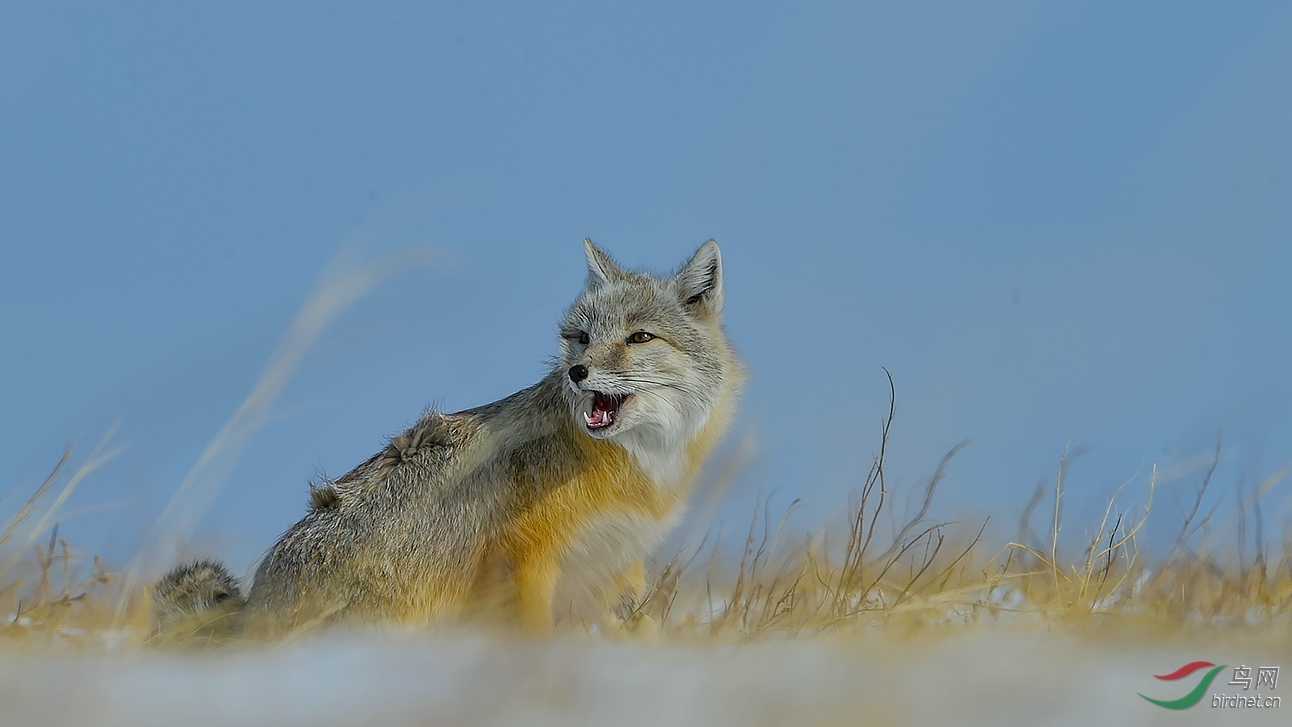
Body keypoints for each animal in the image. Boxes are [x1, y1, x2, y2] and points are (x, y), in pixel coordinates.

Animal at [152, 241, 744, 640]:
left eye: (639, 337)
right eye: (581, 338)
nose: (577, 372)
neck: (640, 465)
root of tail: (255, 609)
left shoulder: (619, 564)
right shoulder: (526, 557)